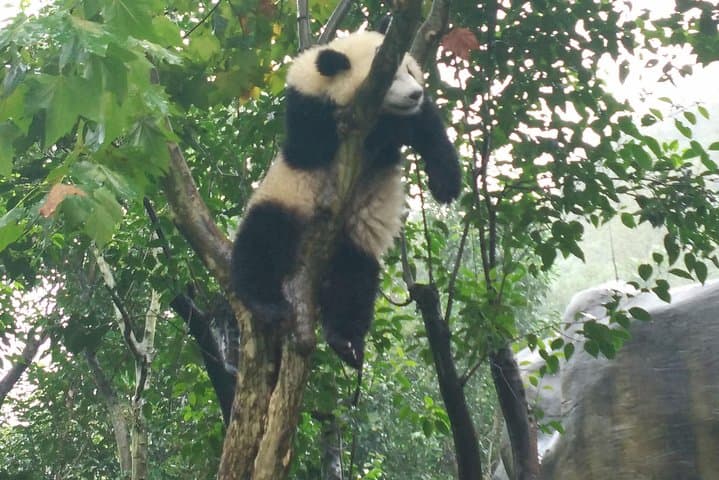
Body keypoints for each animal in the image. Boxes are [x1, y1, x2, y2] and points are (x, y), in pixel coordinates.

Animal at [231, 30, 461, 369]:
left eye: (410, 70)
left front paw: (446, 186)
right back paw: (267, 304)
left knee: (353, 276)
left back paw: (346, 342)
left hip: (354, 232)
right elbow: (315, 143)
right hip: (286, 197)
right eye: (390, 77)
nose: (416, 94)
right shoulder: (308, 110)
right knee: (263, 236)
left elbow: (429, 133)